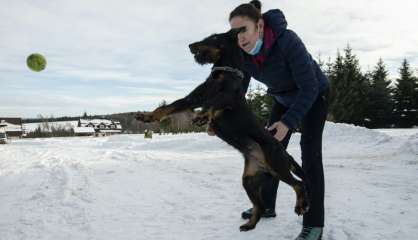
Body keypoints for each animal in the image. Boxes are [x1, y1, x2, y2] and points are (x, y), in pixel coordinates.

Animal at [136, 27, 308, 231]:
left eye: (214, 37)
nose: (190, 45)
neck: (226, 71)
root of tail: (283, 152)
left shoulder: (228, 97)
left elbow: (214, 102)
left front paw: (203, 116)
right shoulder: (192, 98)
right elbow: (167, 108)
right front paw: (146, 117)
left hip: (277, 165)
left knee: (299, 184)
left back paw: (300, 206)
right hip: (249, 180)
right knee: (260, 205)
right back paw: (249, 225)